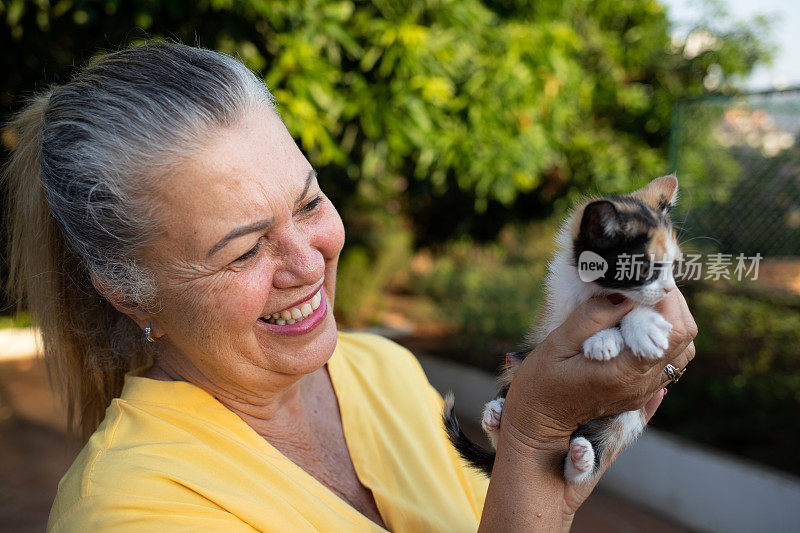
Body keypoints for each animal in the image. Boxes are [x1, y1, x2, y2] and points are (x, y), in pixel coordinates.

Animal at [444, 175, 680, 482]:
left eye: (673, 266)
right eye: (645, 269)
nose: (669, 289)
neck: (595, 289)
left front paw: (635, 328)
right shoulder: (557, 315)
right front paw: (606, 339)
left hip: (627, 417)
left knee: (592, 453)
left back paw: (580, 460)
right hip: (520, 361)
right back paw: (494, 416)